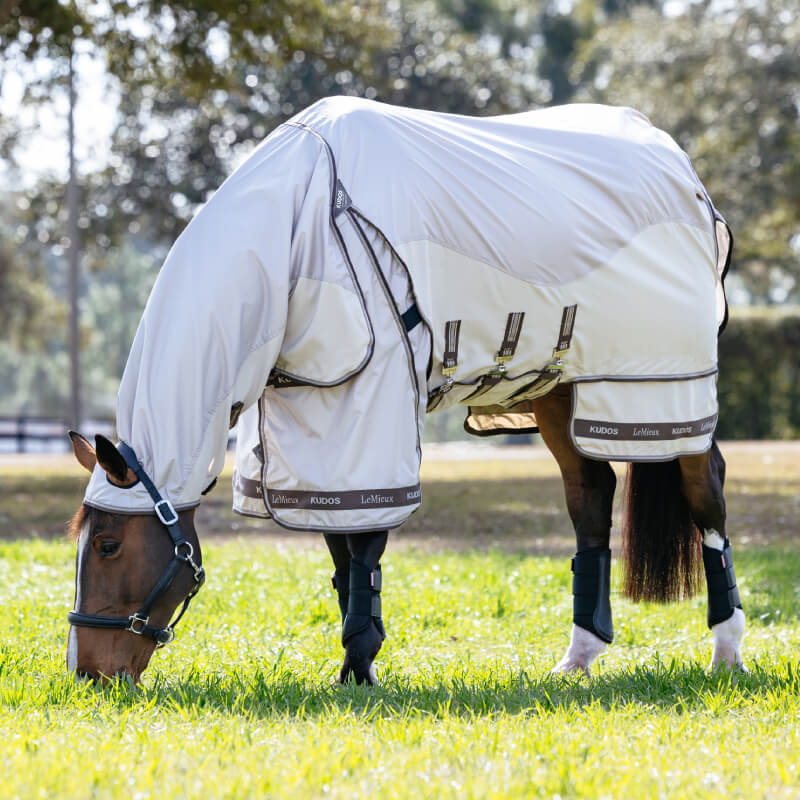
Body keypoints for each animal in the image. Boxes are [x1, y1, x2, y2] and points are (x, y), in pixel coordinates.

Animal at [66, 97, 743, 684]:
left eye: (107, 544)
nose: (89, 673)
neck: (300, 224)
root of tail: (684, 171)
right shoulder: (315, 427)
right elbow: (341, 555)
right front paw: (353, 664)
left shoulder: (373, 407)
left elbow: (364, 549)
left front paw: (360, 667)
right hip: (558, 396)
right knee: (592, 500)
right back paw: (578, 657)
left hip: (659, 395)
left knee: (704, 493)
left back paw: (727, 652)